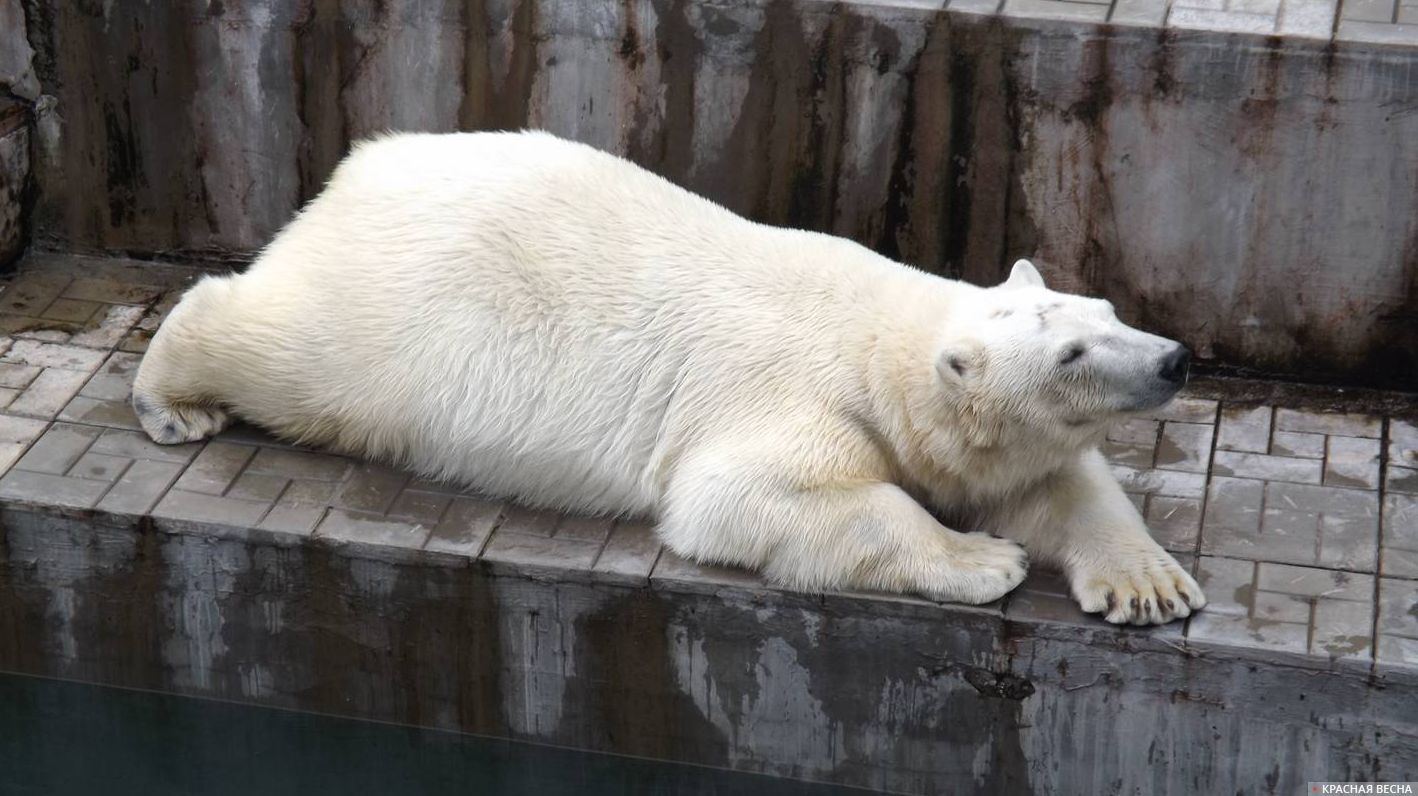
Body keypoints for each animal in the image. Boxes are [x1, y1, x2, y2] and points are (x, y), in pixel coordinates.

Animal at [130, 130, 1208, 624]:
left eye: (1104, 314)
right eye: (1069, 354)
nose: (1173, 357)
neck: (885, 339)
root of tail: (361, 166)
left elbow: (1056, 482)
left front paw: (1146, 585)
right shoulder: (795, 397)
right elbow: (747, 498)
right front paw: (983, 559)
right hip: (390, 319)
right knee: (283, 348)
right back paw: (174, 401)